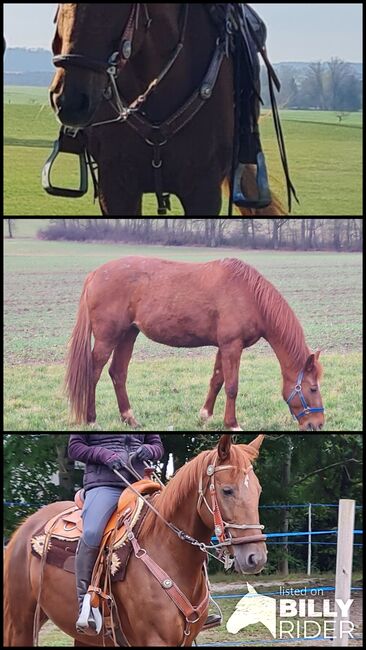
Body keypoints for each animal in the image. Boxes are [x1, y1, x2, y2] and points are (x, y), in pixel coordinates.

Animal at [2, 430, 266, 644]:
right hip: (21, 624)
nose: (256, 557)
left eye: (258, 490)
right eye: (227, 490)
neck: (167, 550)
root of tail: (24, 529)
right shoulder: (155, 639)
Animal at [65, 254, 324, 430]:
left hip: (129, 334)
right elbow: (232, 386)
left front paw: (205, 415)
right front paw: (232, 423)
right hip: (107, 338)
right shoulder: (232, 346)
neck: (249, 296)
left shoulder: (224, 346)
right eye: (313, 388)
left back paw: (130, 418)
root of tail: (95, 274)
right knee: (94, 373)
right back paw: (91, 419)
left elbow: (217, 380)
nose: (318, 423)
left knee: (118, 373)